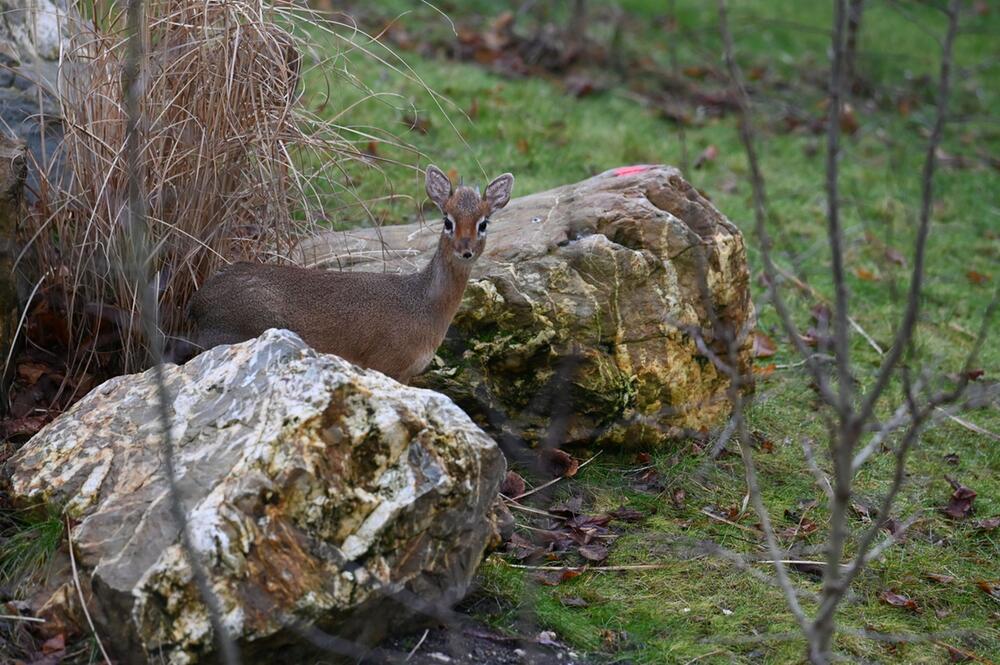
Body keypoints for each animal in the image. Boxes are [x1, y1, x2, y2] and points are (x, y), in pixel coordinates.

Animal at [188, 166, 516, 382]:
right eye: (447, 221)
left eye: (483, 223)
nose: (465, 250)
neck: (423, 304)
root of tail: (198, 302)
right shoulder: (387, 366)